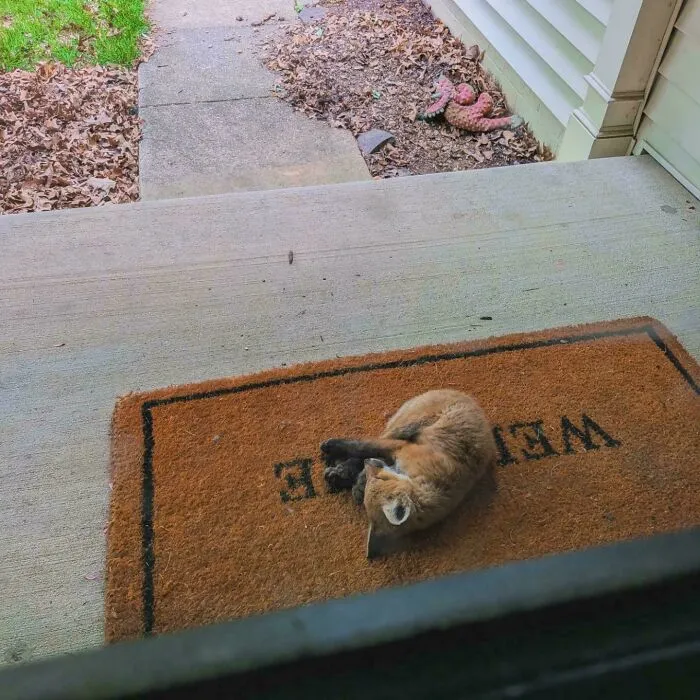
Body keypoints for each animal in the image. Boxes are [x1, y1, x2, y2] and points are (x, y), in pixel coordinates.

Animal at [321, 389, 497, 559]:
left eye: (378, 478)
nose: (368, 463)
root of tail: (462, 393)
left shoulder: (398, 452)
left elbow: (366, 452)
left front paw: (357, 480)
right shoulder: (400, 448)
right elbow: (362, 446)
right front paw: (335, 450)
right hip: (406, 428)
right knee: (374, 441)